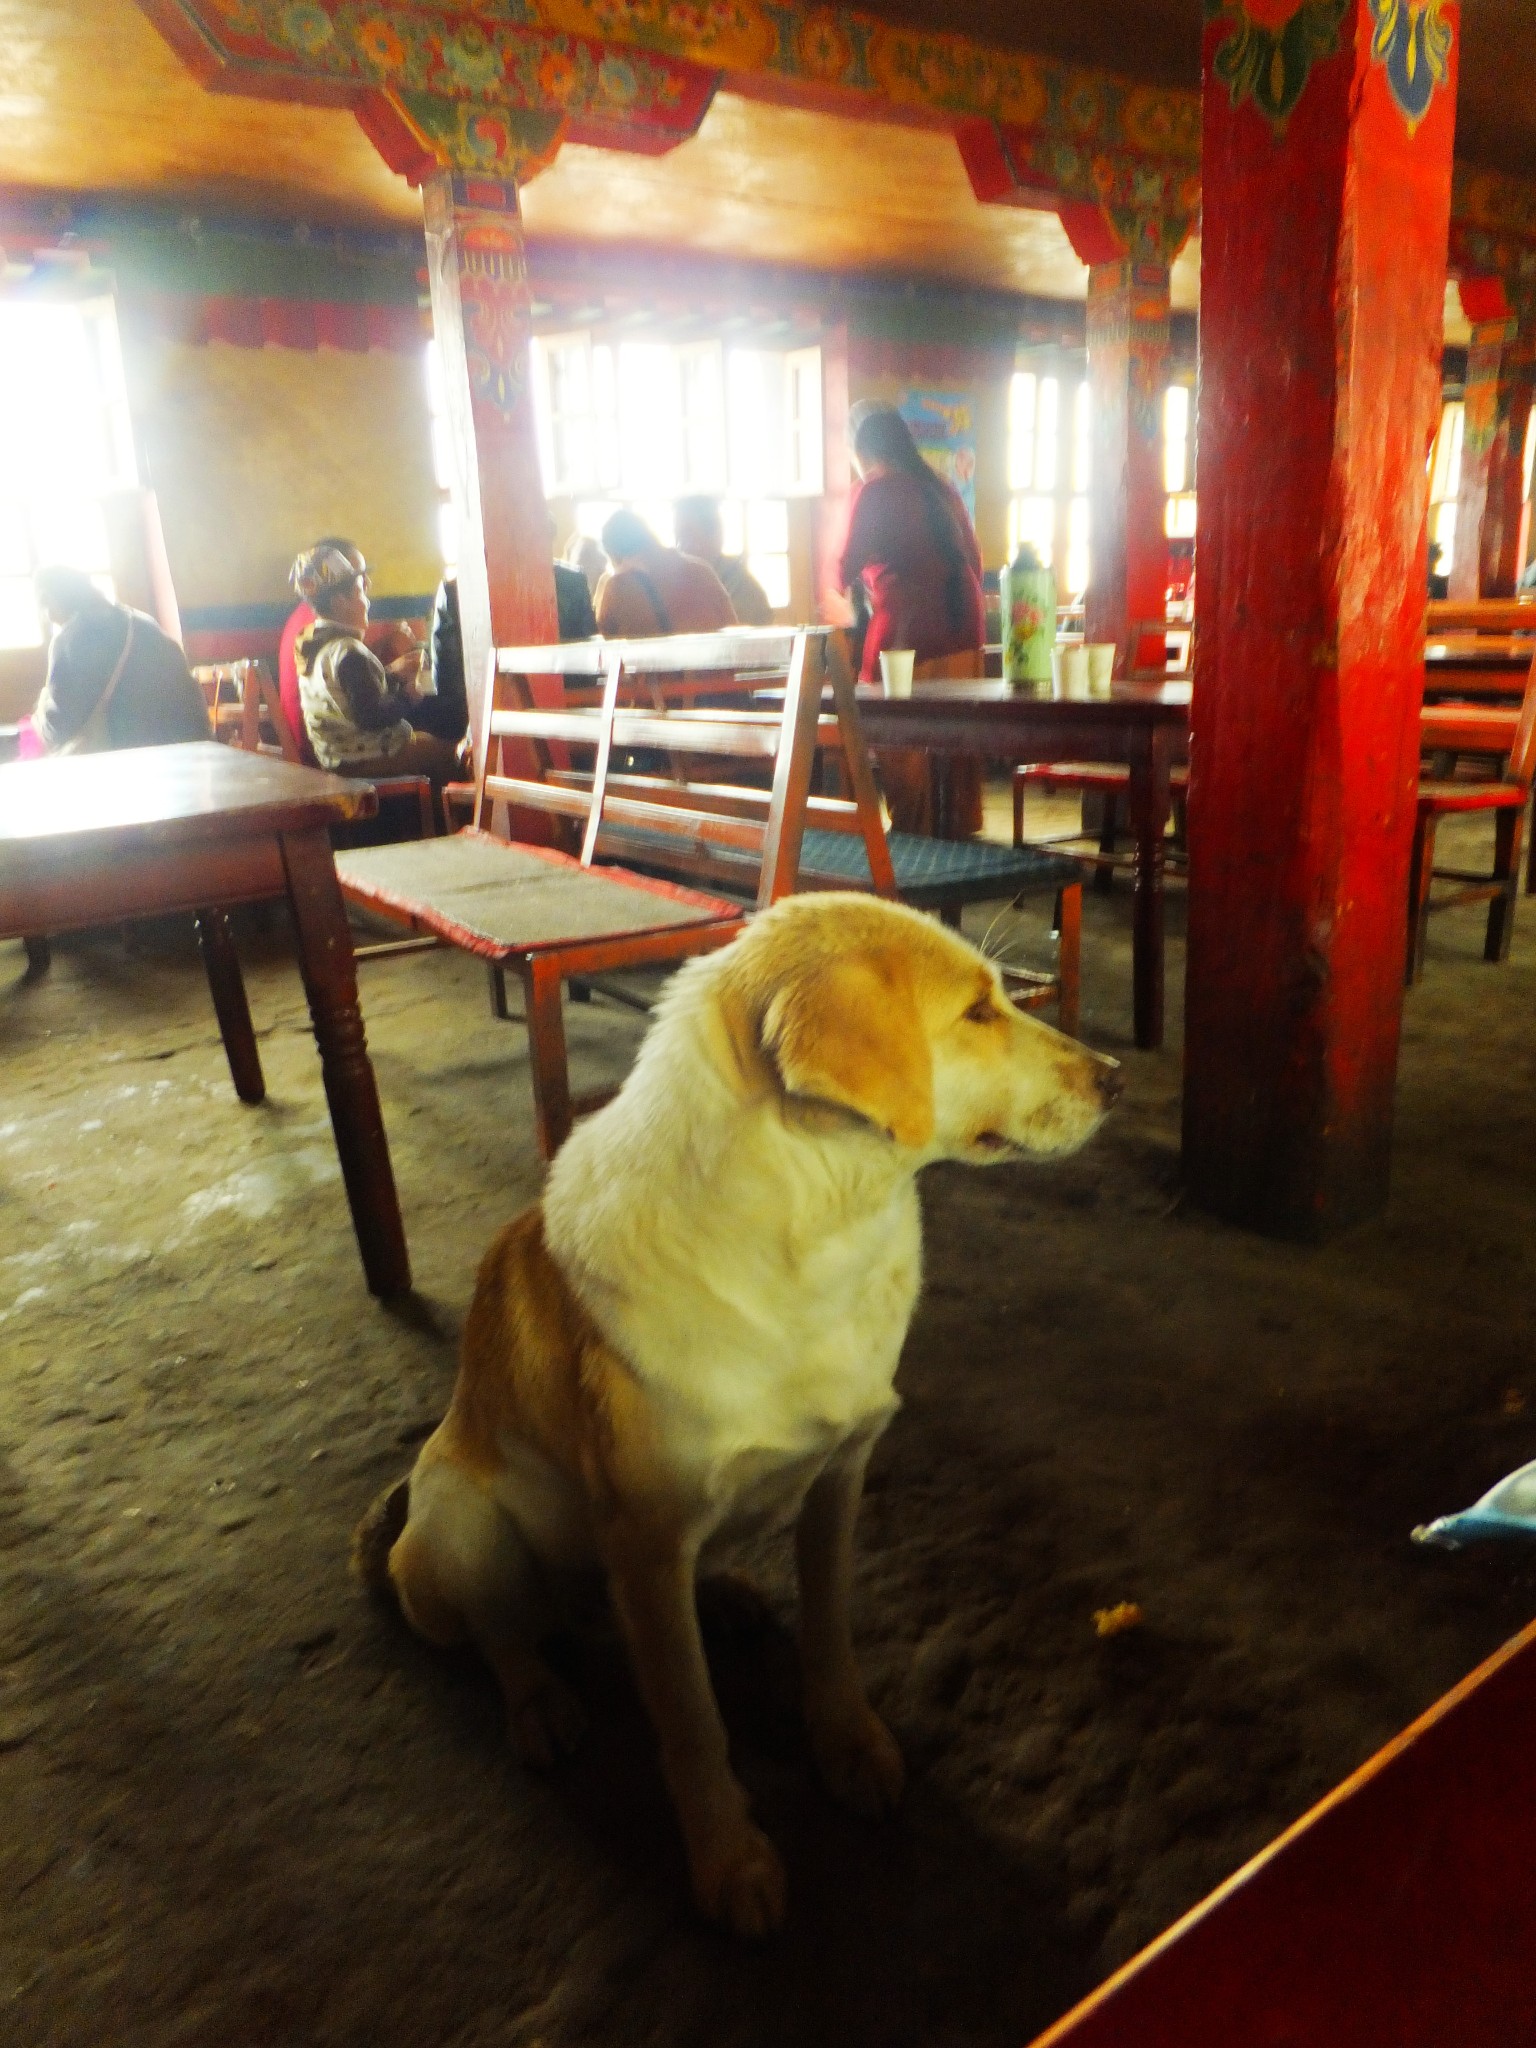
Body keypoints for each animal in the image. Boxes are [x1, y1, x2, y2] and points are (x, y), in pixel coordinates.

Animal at [355, 892, 1121, 1935]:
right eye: (975, 1014)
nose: (1118, 1078)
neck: (812, 1234)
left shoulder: (842, 1474)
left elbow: (831, 1641)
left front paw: (849, 1748)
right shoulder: (644, 1536)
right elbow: (690, 1721)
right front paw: (729, 1858)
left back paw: (719, 1597)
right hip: (462, 1524)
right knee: (503, 1637)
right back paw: (541, 1704)